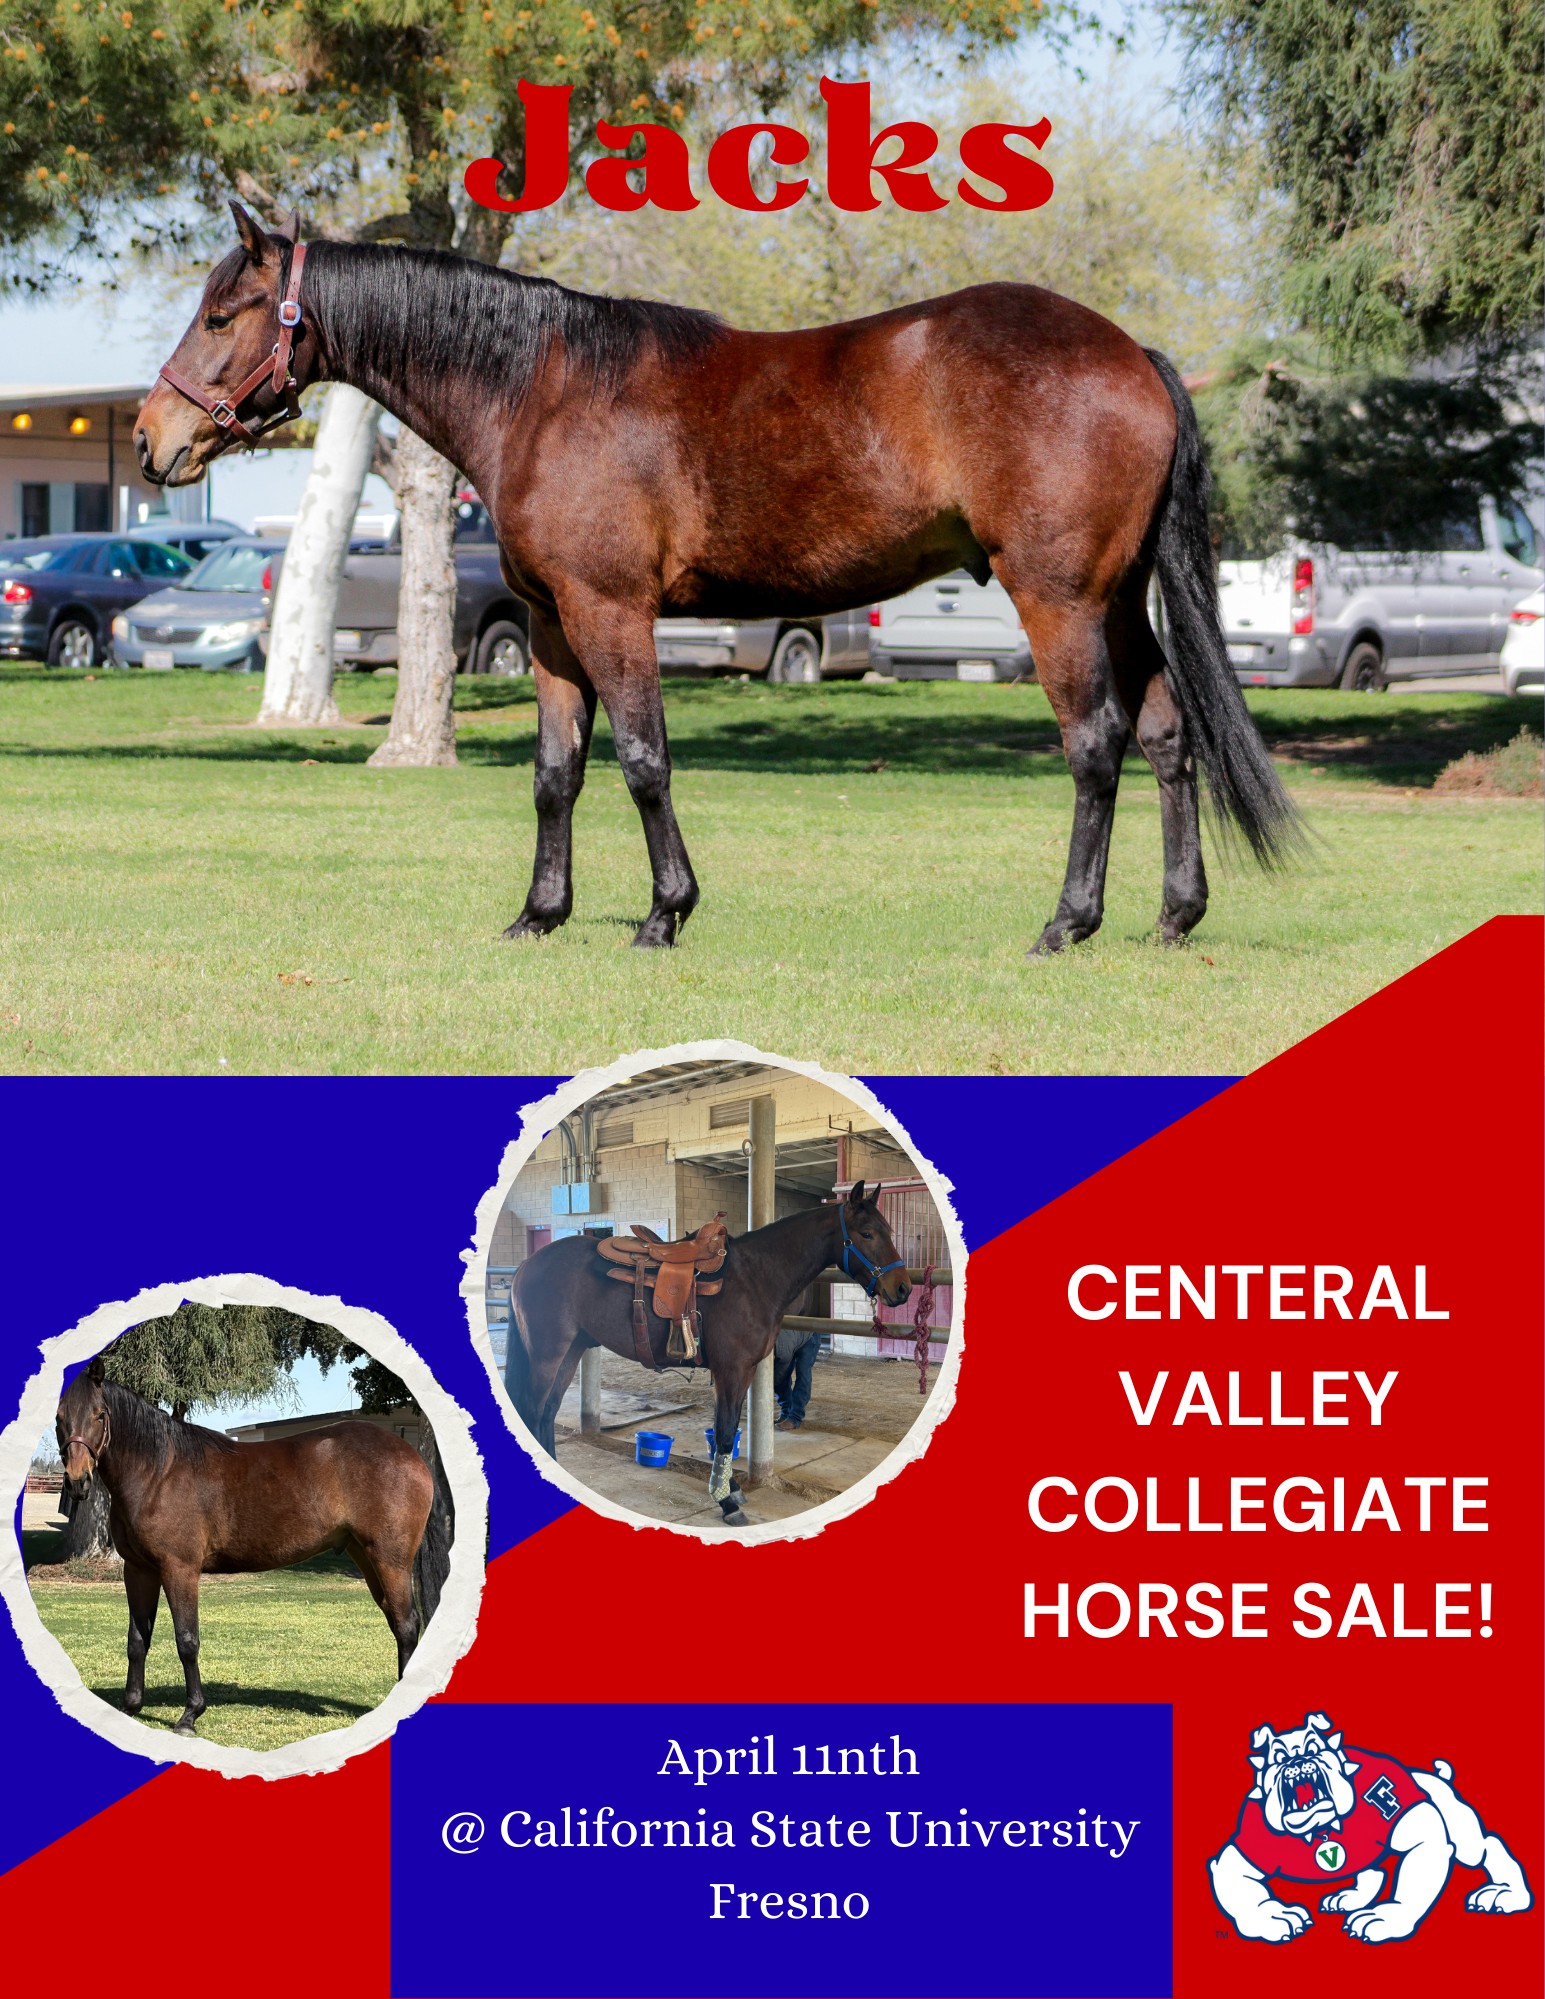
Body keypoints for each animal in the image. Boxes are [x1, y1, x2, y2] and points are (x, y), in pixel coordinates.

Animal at [55, 1357, 434, 1736]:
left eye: (99, 1414)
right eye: (59, 1417)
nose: (77, 1481)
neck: (158, 1473)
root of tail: (410, 1455)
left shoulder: (179, 1569)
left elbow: (187, 1641)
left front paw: (190, 1715)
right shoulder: (138, 1571)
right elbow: (137, 1640)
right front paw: (131, 1707)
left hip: (390, 1560)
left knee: (406, 1624)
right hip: (366, 1557)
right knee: (396, 1620)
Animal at [134, 204, 1299, 955]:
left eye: (225, 315)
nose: (152, 440)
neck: (540, 387)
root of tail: (1131, 355)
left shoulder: (612, 612)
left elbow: (645, 760)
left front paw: (665, 912)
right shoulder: (551, 626)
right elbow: (556, 772)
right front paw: (541, 914)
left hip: (1059, 600)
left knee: (1096, 744)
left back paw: (1068, 921)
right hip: (1118, 601)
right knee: (1166, 737)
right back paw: (1173, 915)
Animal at [507, 1180, 910, 1524]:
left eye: (890, 1231)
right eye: (867, 1233)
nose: (903, 1288)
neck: (755, 1277)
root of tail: (527, 1264)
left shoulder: (744, 1370)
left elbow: (726, 1431)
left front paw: (729, 1489)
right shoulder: (731, 1369)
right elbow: (727, 1431)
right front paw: (727, 1501)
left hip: (572, 1349)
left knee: (547, 1412)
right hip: (548, 1352)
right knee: (533, 1409)